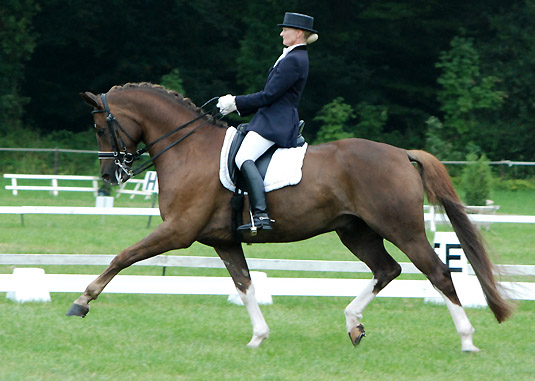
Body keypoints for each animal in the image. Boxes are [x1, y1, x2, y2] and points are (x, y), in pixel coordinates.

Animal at [69, 82, 512, 350]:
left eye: (101, 128)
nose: (110, 176)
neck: (186, 148)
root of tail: (402, 154)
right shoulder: (224, 240)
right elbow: (244, 284)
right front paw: (258, 337)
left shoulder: (178, 231)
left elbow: (122, 257)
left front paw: (81, 302)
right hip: (356, 232)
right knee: (387, 270)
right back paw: (353, 324)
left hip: (401, 228)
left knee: (438, 272)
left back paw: (467, 340)